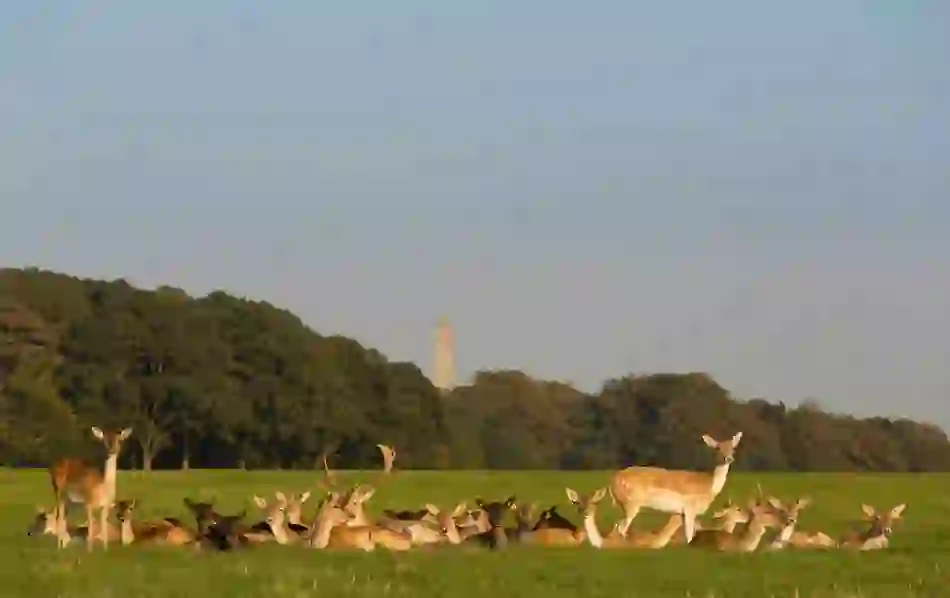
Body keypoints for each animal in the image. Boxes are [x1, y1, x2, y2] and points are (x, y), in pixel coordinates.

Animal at [608, 431, 742, 543]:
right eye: (717, 448)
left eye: (733, 448)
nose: (728, 458)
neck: (708, 484)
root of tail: (614, 480)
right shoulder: (689, 510)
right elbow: (689, 536)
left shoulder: (681, 514)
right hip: (631, 506)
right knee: (621, 528)